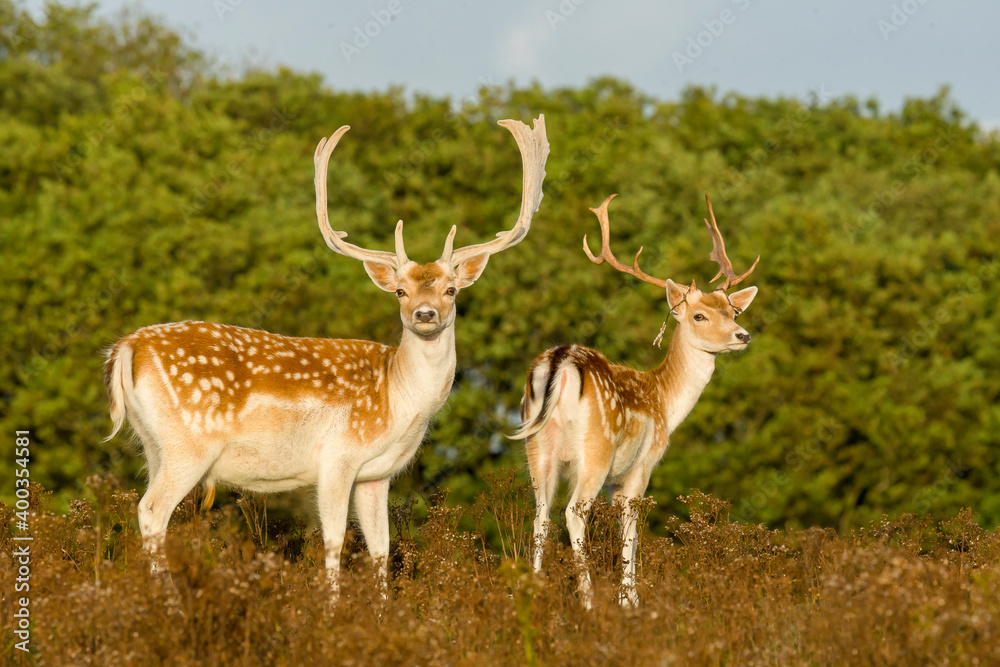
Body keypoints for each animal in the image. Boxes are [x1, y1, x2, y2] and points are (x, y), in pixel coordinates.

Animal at [105, 116, 552, 596]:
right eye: (400, 290)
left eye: (451, 290)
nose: (425, 314)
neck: (397, 400)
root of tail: (127, 347)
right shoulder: (337, 457)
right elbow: (335, 539)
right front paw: (332, 605)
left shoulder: (375, 474)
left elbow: (380, 548)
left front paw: (382, 607)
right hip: (189, 443)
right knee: (152, 511)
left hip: (153, 444)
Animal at [516, 194, 756, 612]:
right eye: (699, 315)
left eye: (733, 311)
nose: (743, 335)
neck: (663, 400)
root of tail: (560, 361)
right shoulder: (642, 465)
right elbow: (631, 530)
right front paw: (630, 602)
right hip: (596, 448)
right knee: (573, 512)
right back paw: (589, 602)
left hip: (537, 445)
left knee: (540, 515)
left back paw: (534, 596)